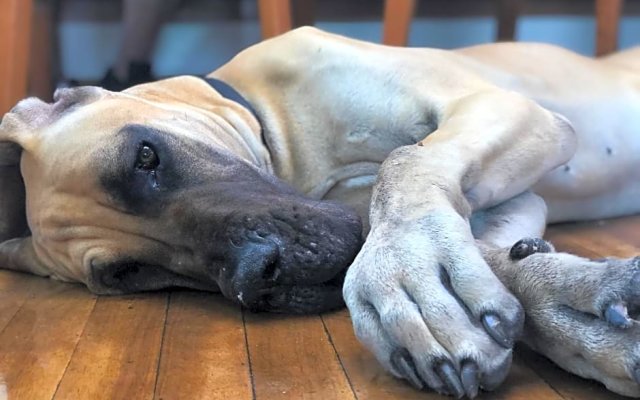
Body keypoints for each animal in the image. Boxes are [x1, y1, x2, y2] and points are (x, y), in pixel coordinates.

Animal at [1, 27, 640, 396]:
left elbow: (406, 161)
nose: (259, 275)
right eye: (129, 273)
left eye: (145, 156)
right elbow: (493, 254)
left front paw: (405, 275)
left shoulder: (500, 107)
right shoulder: (512, 197)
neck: (277, 123)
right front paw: (570, 308)